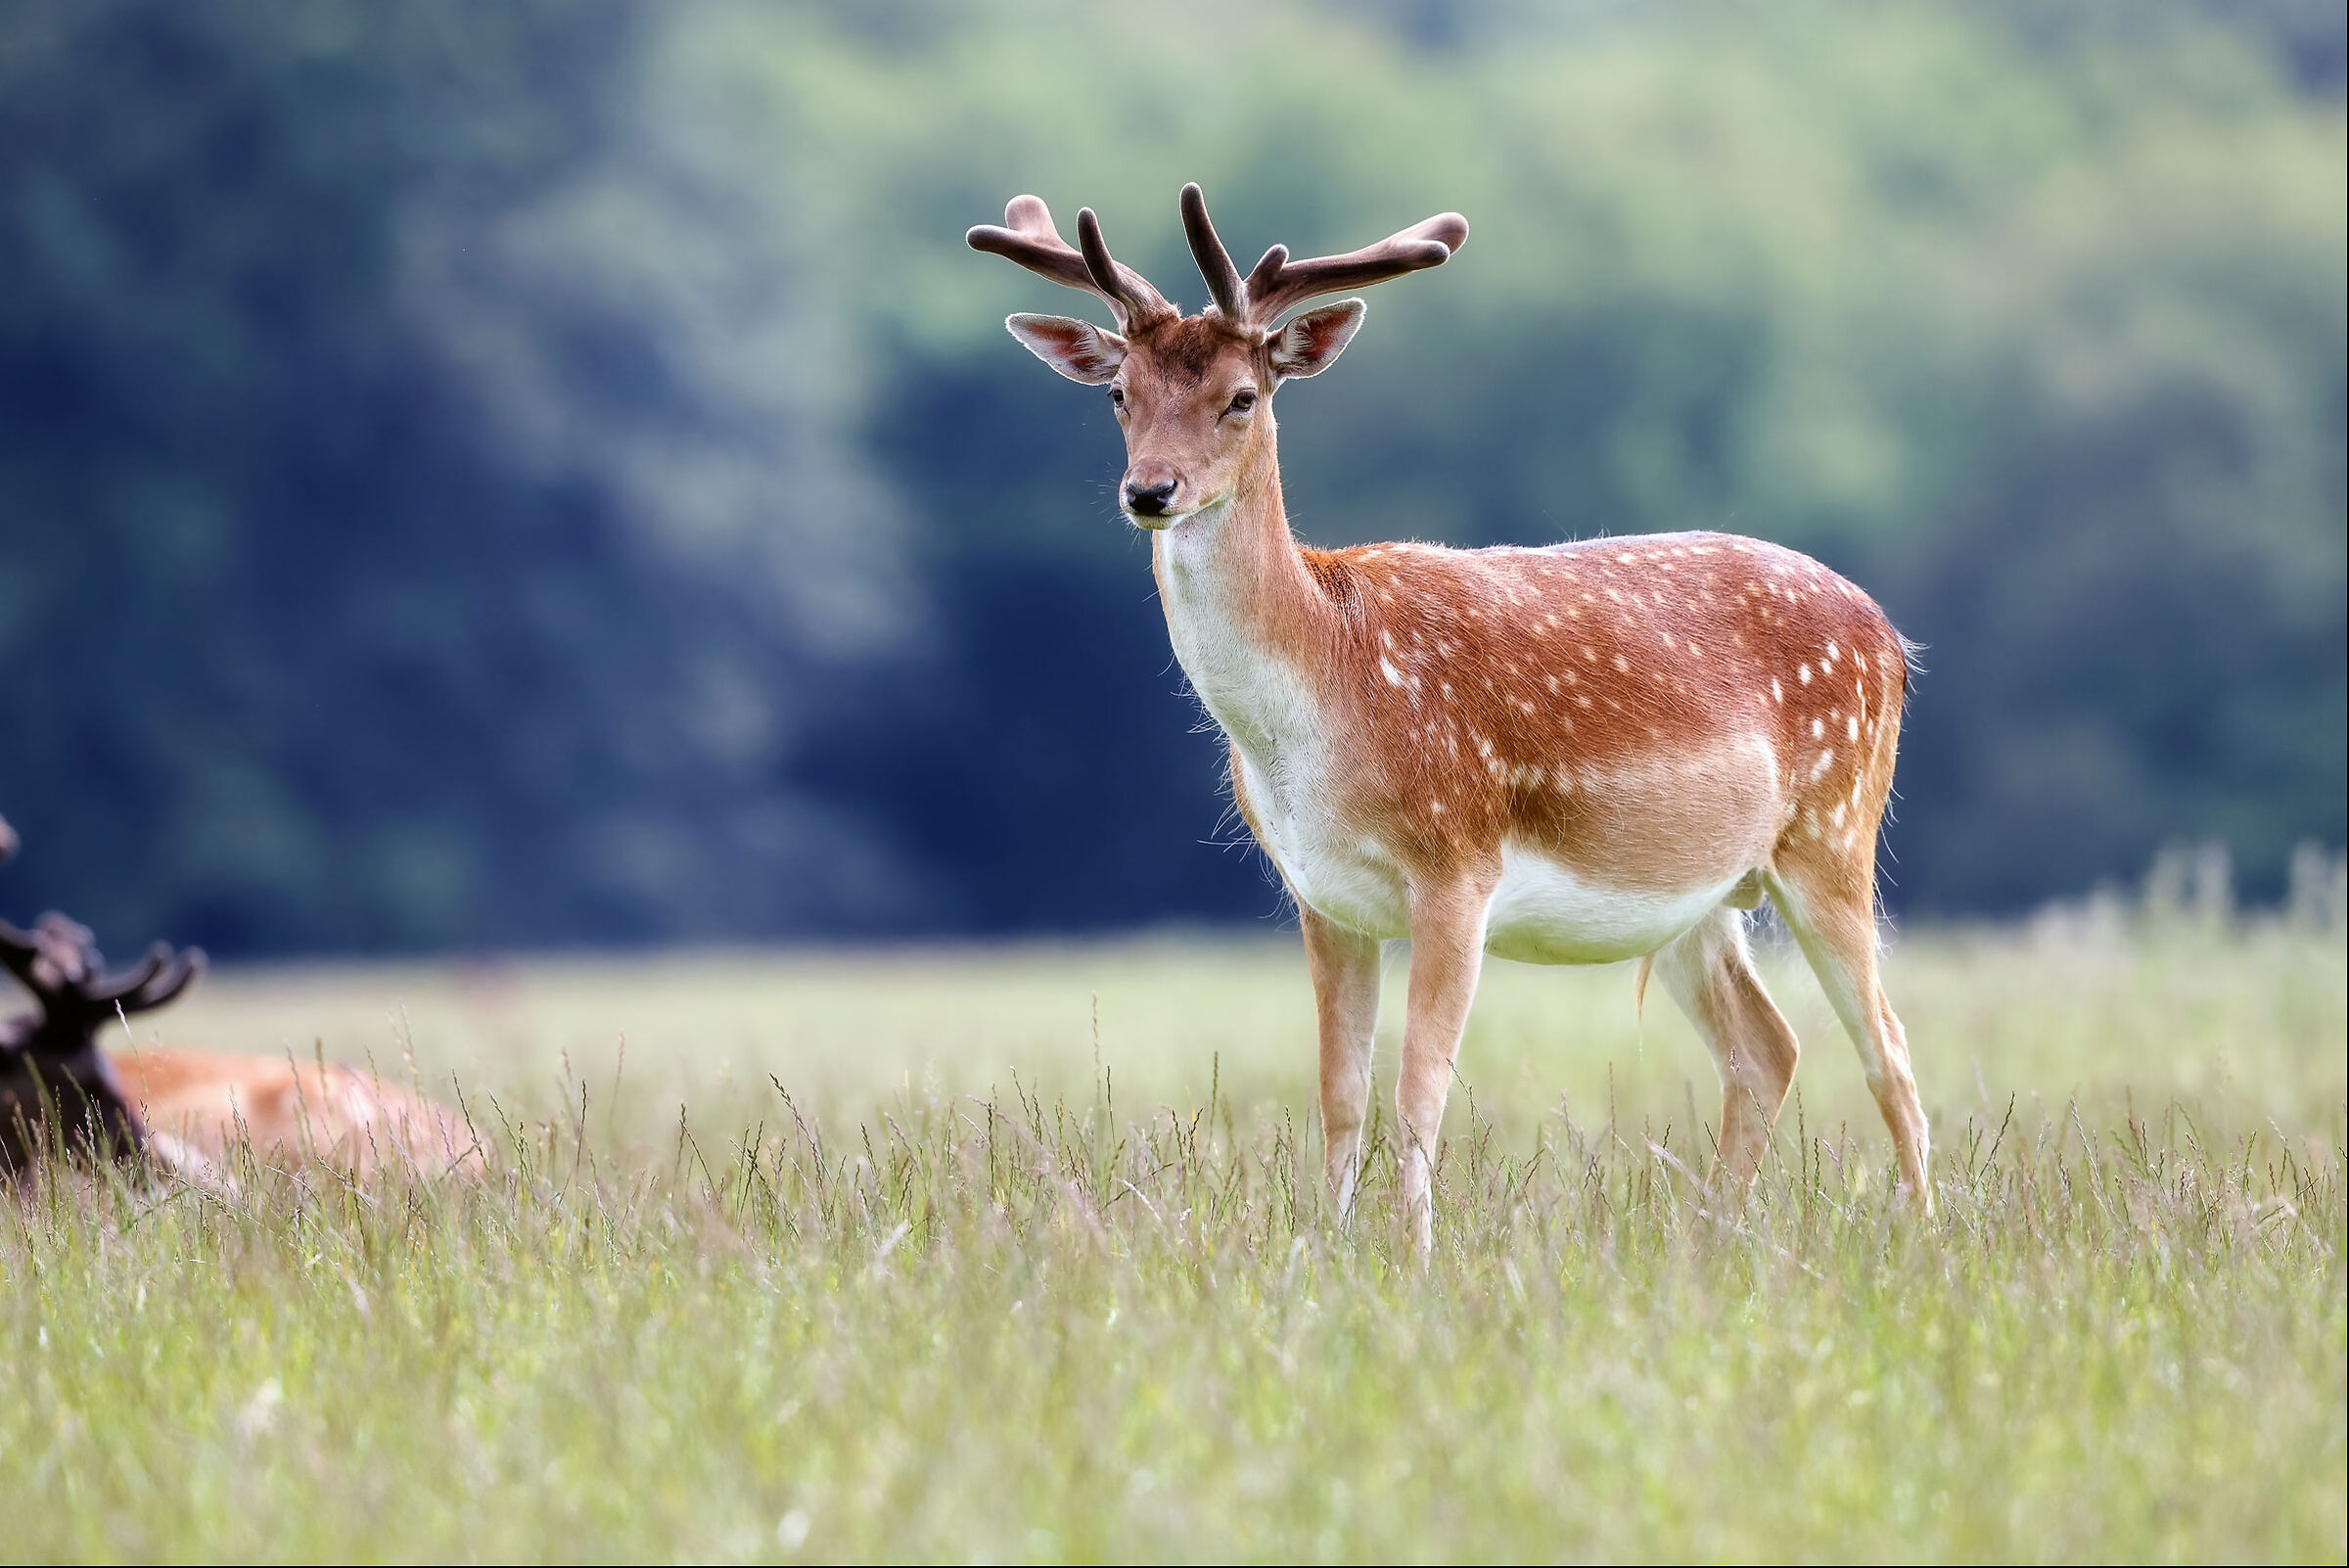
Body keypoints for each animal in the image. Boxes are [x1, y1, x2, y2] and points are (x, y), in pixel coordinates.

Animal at [970, 185, 1931, 1254]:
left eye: (1241, 395)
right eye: (1118, 394)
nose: (1150, 490)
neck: (1326, 691)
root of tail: (1892, 638)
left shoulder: (1457, 865)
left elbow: (1419, 1089)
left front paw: (1416, 1257)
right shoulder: (1320, 896)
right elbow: (1339, 1094)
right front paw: (1326, 1251)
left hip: (1834, 834)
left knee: (1892, 1052)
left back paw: (1924, 1239)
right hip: (1696, 899)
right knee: (1769, 1047)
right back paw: (1708, 1245)